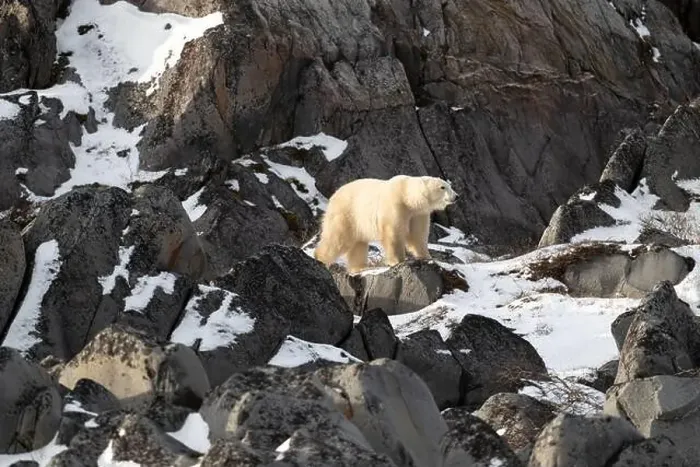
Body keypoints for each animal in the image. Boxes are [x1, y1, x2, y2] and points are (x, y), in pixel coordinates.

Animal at [314, 175, 458, 274]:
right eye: (442, 187)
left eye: (450, 186)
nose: (456, 196)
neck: (407, 196)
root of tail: (334, 195)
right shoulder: (395, 206)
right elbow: (393, 233)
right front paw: (398, 260)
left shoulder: (418, 214)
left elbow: (417, 235)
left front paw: (427, 257)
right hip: (347, 214)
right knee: (337, 239)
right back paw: (320, 259)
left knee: (358, 244)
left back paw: (360, 268)